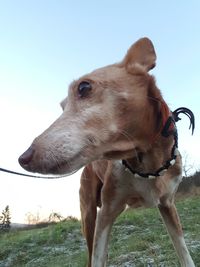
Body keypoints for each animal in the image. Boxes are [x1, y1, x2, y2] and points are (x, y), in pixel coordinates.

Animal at [19, 38, 195, 267]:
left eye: (84, 87)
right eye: (62, 106)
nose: (23, 158)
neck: (146, 163)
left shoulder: (168, 205)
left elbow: (184, 253)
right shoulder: (106, 213)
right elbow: (97, 257)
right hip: (88, 215)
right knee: (90, 254)